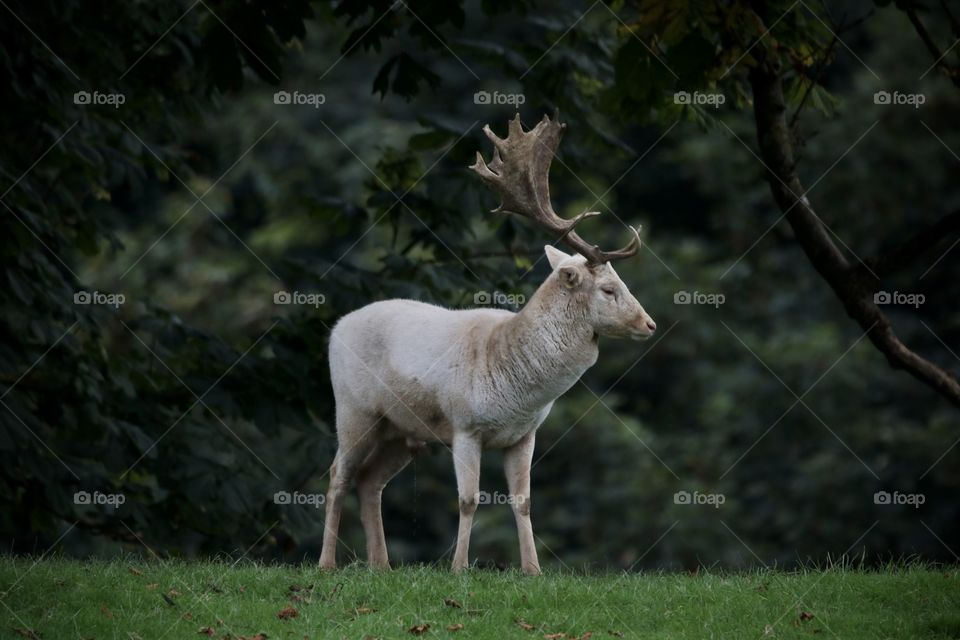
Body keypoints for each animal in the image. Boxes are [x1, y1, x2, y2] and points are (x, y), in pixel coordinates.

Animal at [319, 111, 656, 575]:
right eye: (608, 289)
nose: (649, 324)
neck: (517, 388)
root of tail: (337, 327)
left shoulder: (524, 435)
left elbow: (524, 501)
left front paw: (533, 570)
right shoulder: (464, 425)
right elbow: (468, 499)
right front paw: (459, 568)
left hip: (401, 430)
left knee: (370, 480)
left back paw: (381, 566)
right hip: (355, 409)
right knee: (338, 473)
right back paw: (326, 564)